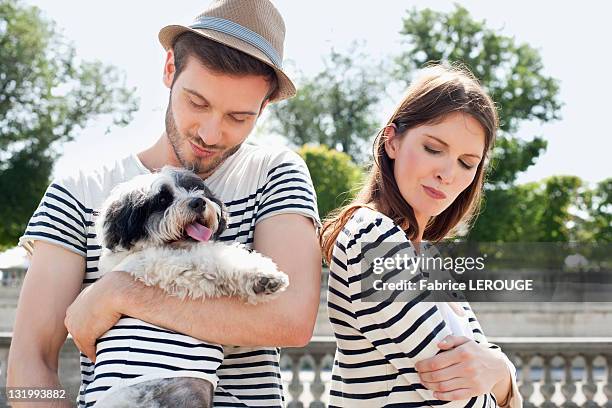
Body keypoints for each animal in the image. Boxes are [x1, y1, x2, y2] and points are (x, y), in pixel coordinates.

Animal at [89, 167, 290, 408]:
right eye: (162, 199)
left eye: (196, 188)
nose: (198, 202)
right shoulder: (177, 269)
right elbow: (215, 257)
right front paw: (263, 275)